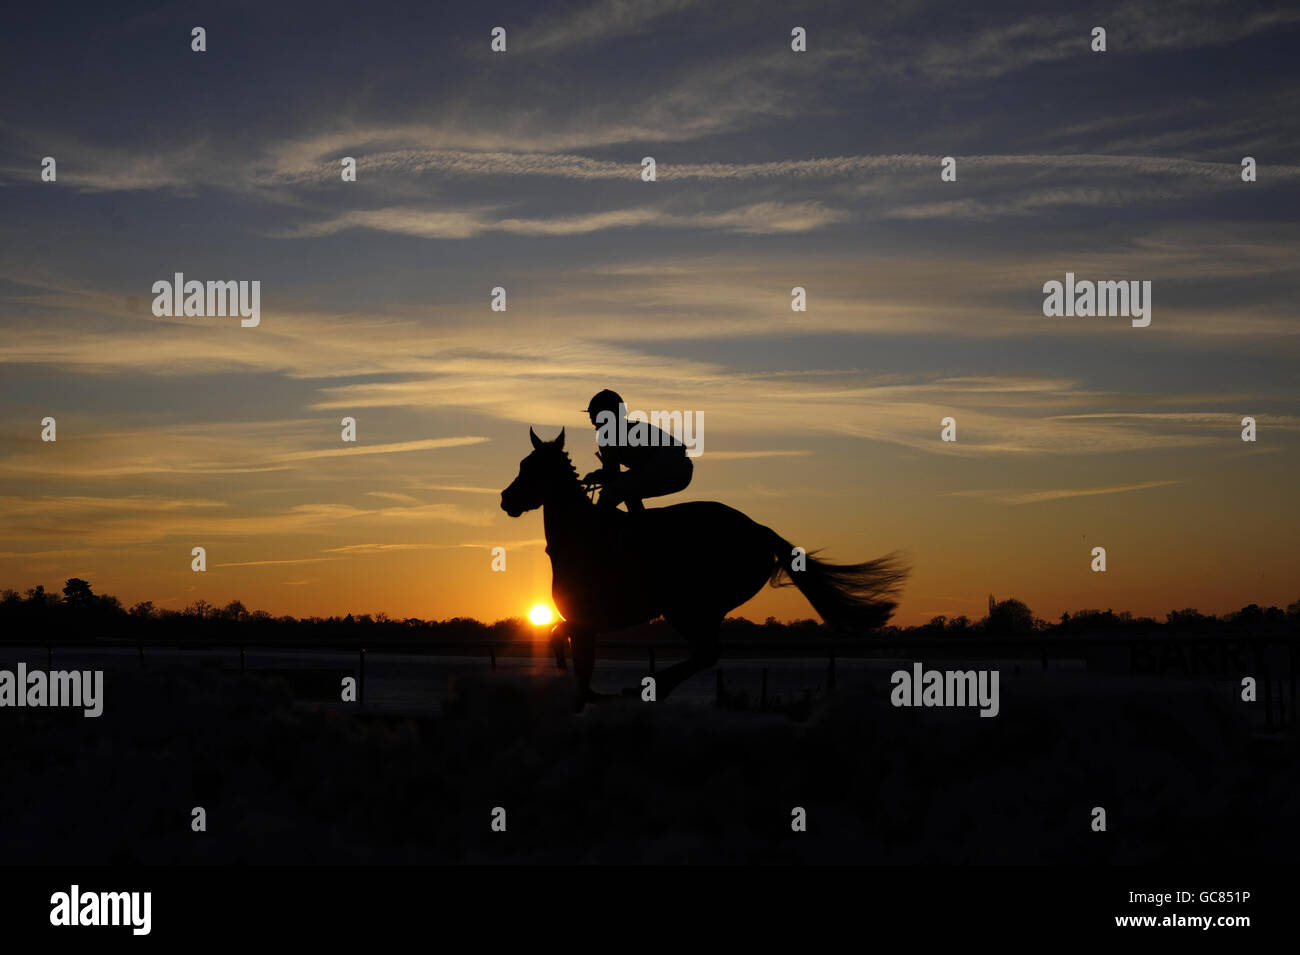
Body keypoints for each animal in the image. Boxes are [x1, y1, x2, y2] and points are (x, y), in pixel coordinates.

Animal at [501, 428, 909, 712]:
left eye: (531, 467)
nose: (506, 499)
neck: (582, 536)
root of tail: (759, 529)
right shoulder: (583, 623)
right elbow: (566, 650)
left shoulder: (585, 621)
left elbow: (576, 661)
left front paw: (588, 695)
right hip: (704, 608)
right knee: (706, 653)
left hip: (689, 605)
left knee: (706, 653)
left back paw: (647, 687)